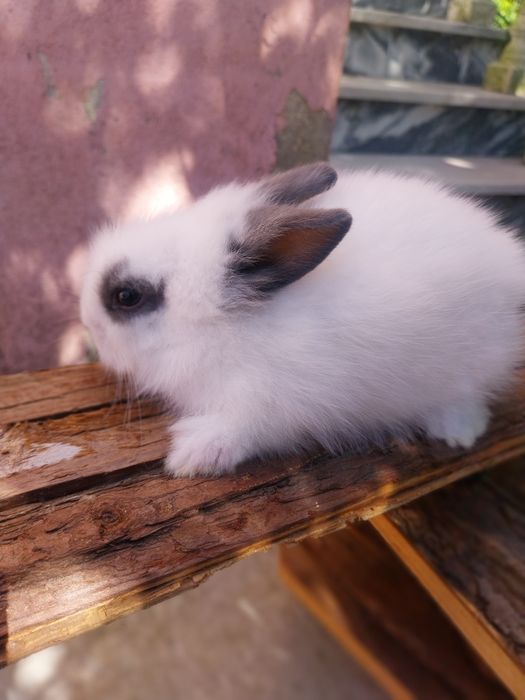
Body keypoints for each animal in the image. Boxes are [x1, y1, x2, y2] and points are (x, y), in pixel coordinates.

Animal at [80, 162, 525, 477]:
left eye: (126, 296)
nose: (86, 323)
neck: (222, 329)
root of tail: (509, 261)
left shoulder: (276, 400)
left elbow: (244, 428)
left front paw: (192, 455)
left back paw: (456, 433)